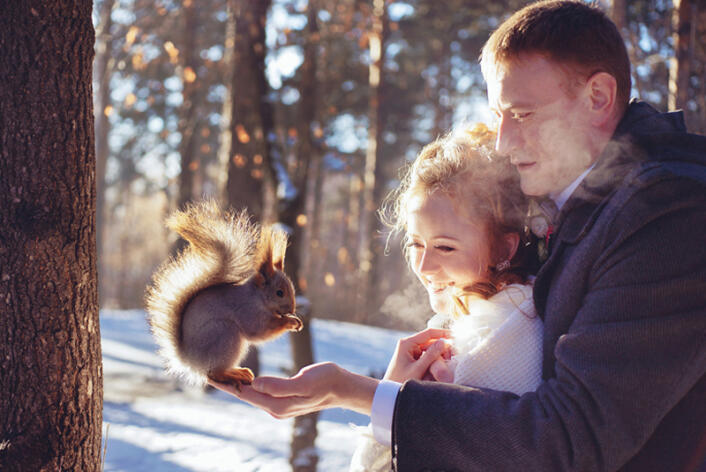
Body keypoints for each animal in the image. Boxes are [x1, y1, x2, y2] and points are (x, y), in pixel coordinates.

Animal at [144, 199, 302, 388]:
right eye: (279, 293)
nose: (292, 310)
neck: (257, 297)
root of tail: (189, 360)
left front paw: (296, 321)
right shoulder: (247, 310)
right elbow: (259, 330)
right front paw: (290, 322)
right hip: (225, 334)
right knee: (213, 374)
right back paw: (233, 376)